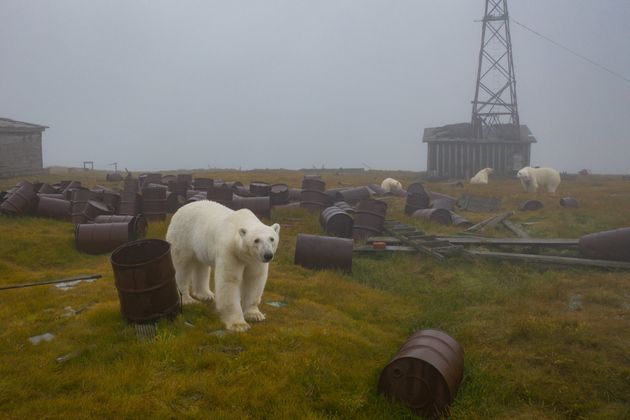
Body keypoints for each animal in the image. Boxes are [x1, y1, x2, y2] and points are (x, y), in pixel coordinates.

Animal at [165, 200, 282, 332]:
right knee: (181, 267)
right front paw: (239, 324)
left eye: (272, 239)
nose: (268, 255)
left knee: (201, 266)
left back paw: (206, 295)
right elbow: (229, 281)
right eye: (256, 240)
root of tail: (181, 208)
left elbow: (254, 279)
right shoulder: (230, 251)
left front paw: (255, 315)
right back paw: (187, 299)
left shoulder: (255, 260)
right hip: (182, 236)